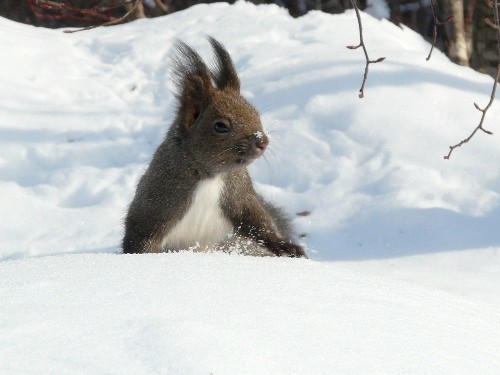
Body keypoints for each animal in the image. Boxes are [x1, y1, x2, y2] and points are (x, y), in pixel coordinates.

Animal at [123, 37, 306, 258]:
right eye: (220, 126)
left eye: (255, 112)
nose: (262, 141)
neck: (210, 176)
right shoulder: (156, 203)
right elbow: (141, 239)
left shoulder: (240, 196)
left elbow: (260, 224)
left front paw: (287, 246)